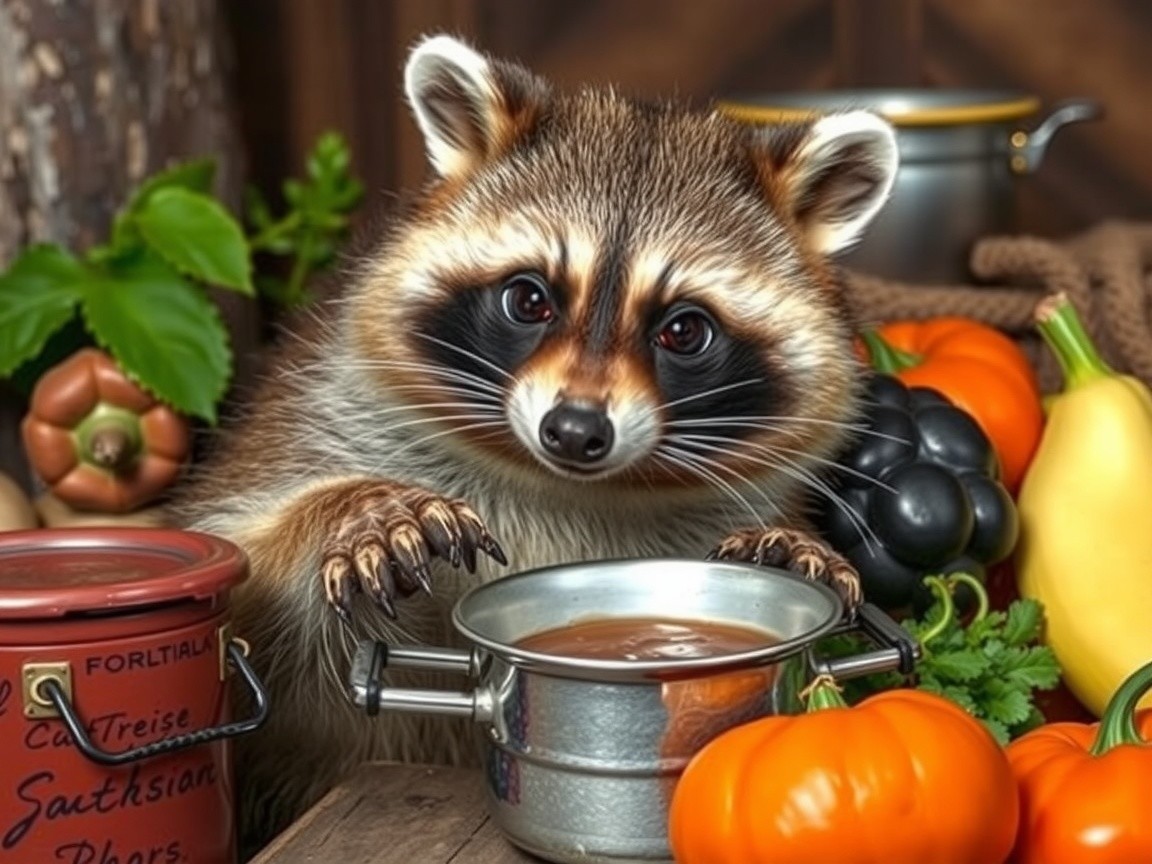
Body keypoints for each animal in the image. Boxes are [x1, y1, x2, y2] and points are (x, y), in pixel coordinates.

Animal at [168, 34, 898, 852]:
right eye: (529, 297)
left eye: (683, 329)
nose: (575, 432)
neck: (568, 485)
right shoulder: (306, 415)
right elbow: (242, 584)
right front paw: (359, 508)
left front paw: (784, 546)